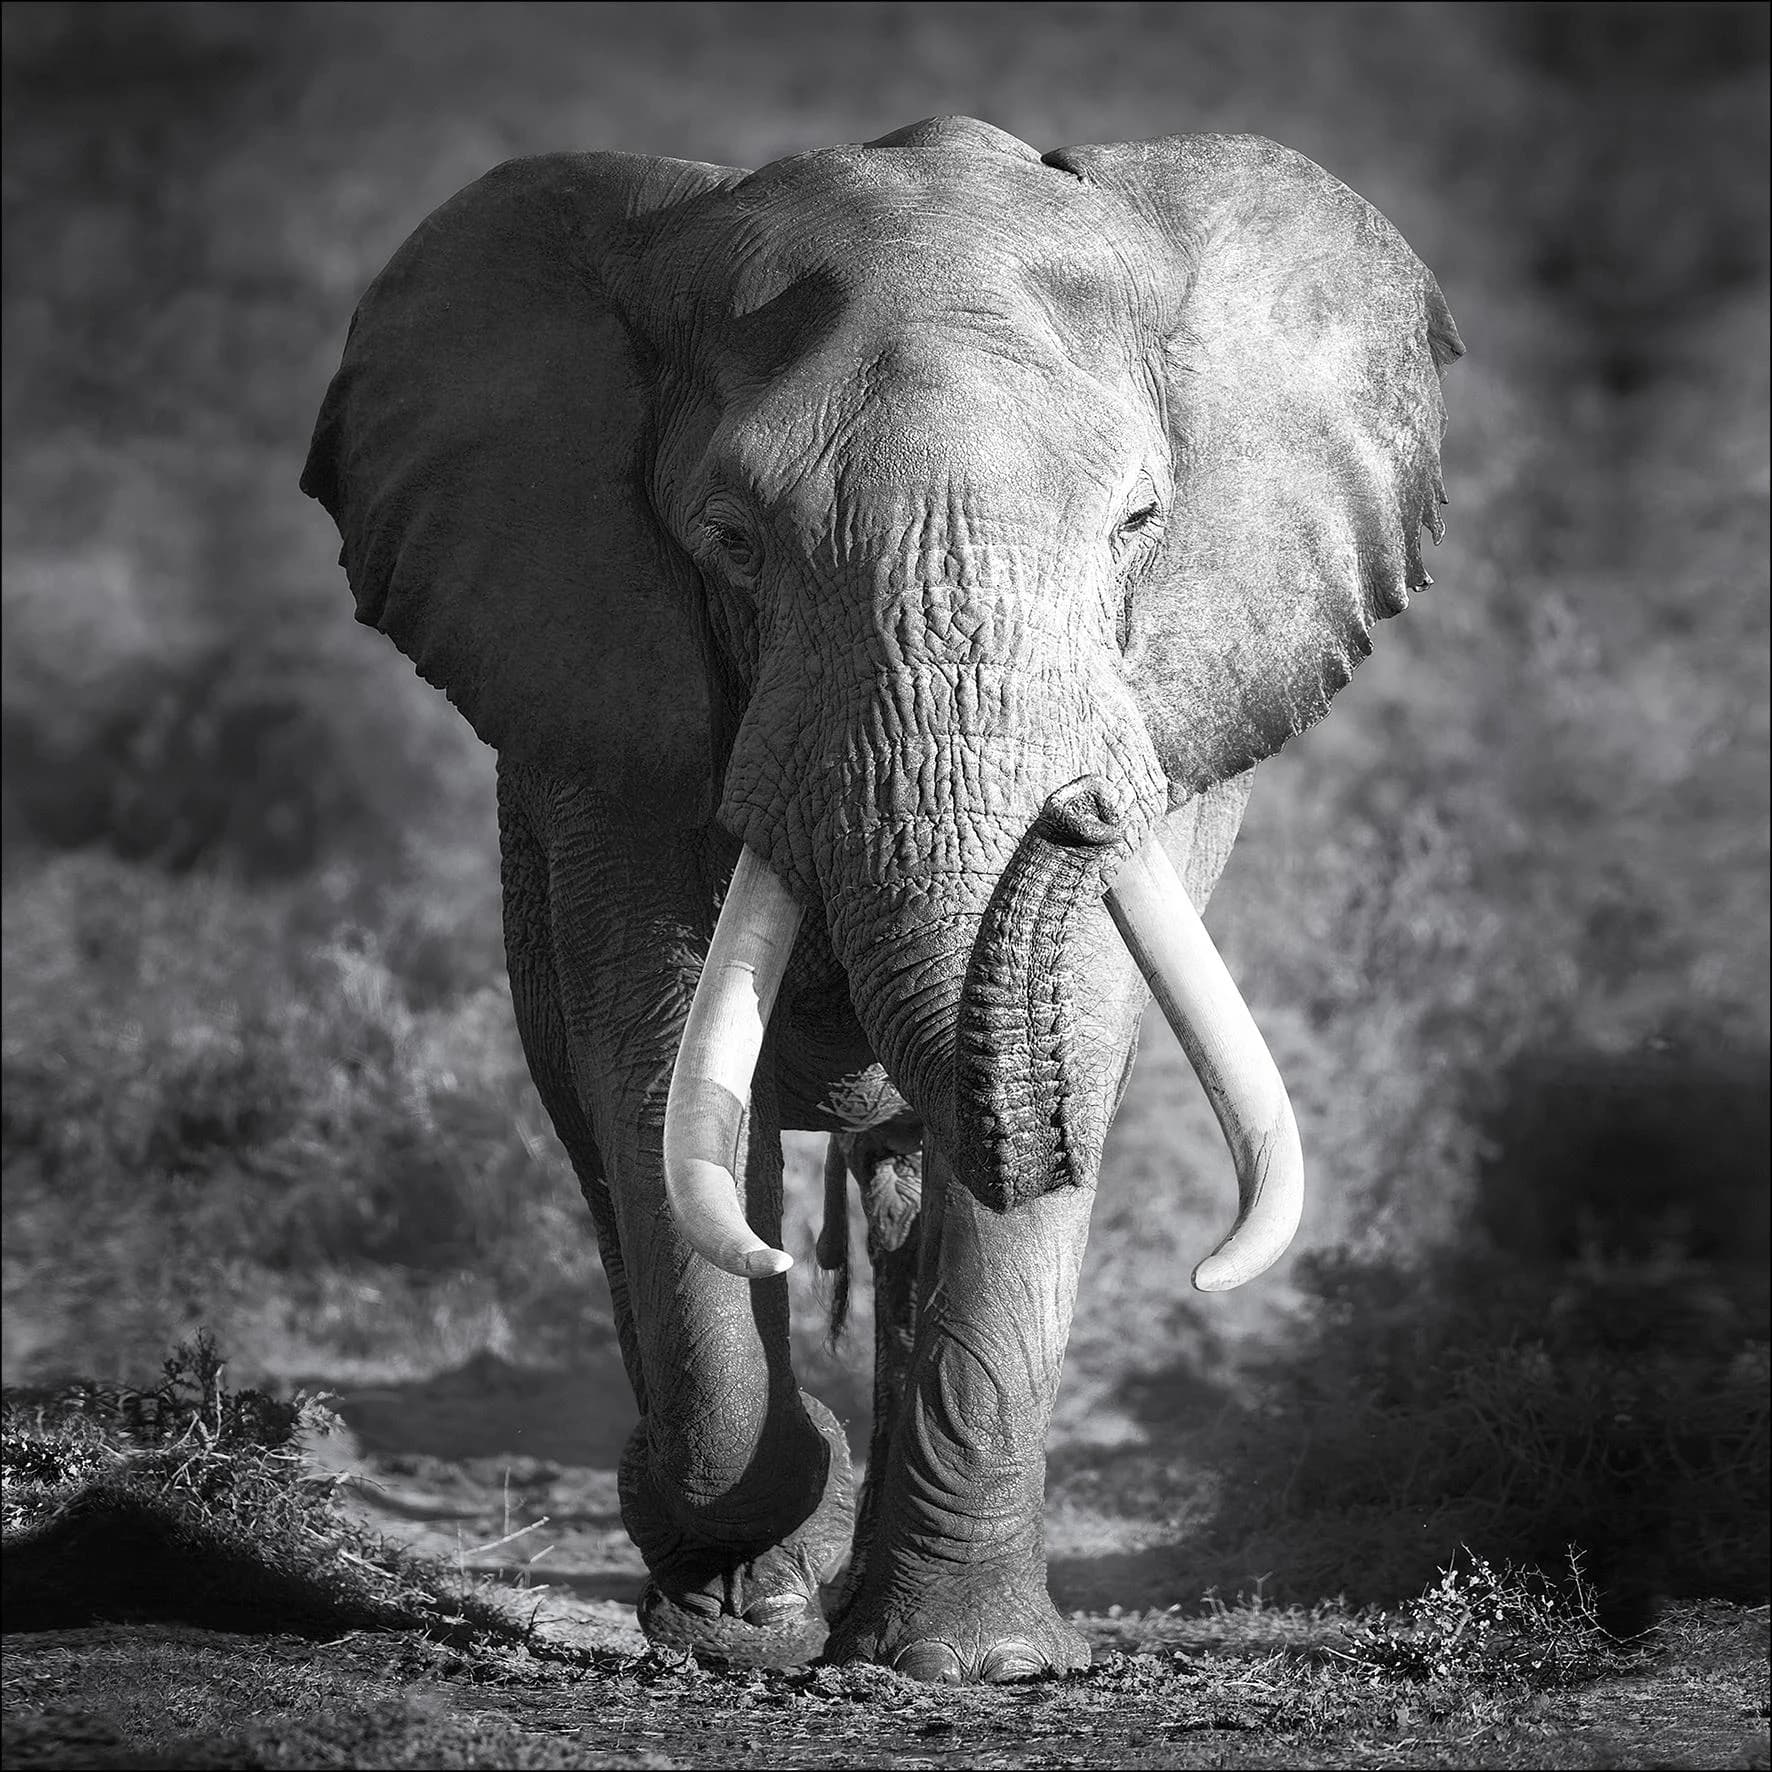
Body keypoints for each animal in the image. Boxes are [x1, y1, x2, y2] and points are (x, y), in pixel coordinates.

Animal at [303, 115, 1461, 1681]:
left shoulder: (1181, 699)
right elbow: (655, 1062)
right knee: (608, 1130)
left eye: (1138, 521)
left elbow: (1076, 1039)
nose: (1082, 807)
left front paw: (975, 1664)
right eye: (733, 539)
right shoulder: (601, 711)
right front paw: (743, 1608)